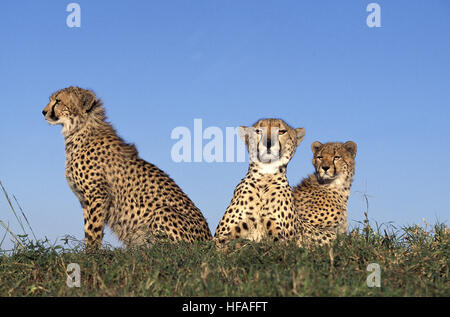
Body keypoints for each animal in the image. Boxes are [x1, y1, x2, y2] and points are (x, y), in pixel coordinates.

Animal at [41, 86, 212, 247]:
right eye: (52, 100)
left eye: (58, 101)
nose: (43, 112)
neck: (79, 129)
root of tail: (209, 240)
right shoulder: (85, 200)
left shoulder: (97, 196)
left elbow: (93, 231)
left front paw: (90, 254)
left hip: (163, 212)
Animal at [214, 118, 334, 247]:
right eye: (258, 131)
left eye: (281, 131)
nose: (268, 143)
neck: (265, 175)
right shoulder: (220, 237)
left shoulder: (282, 241)